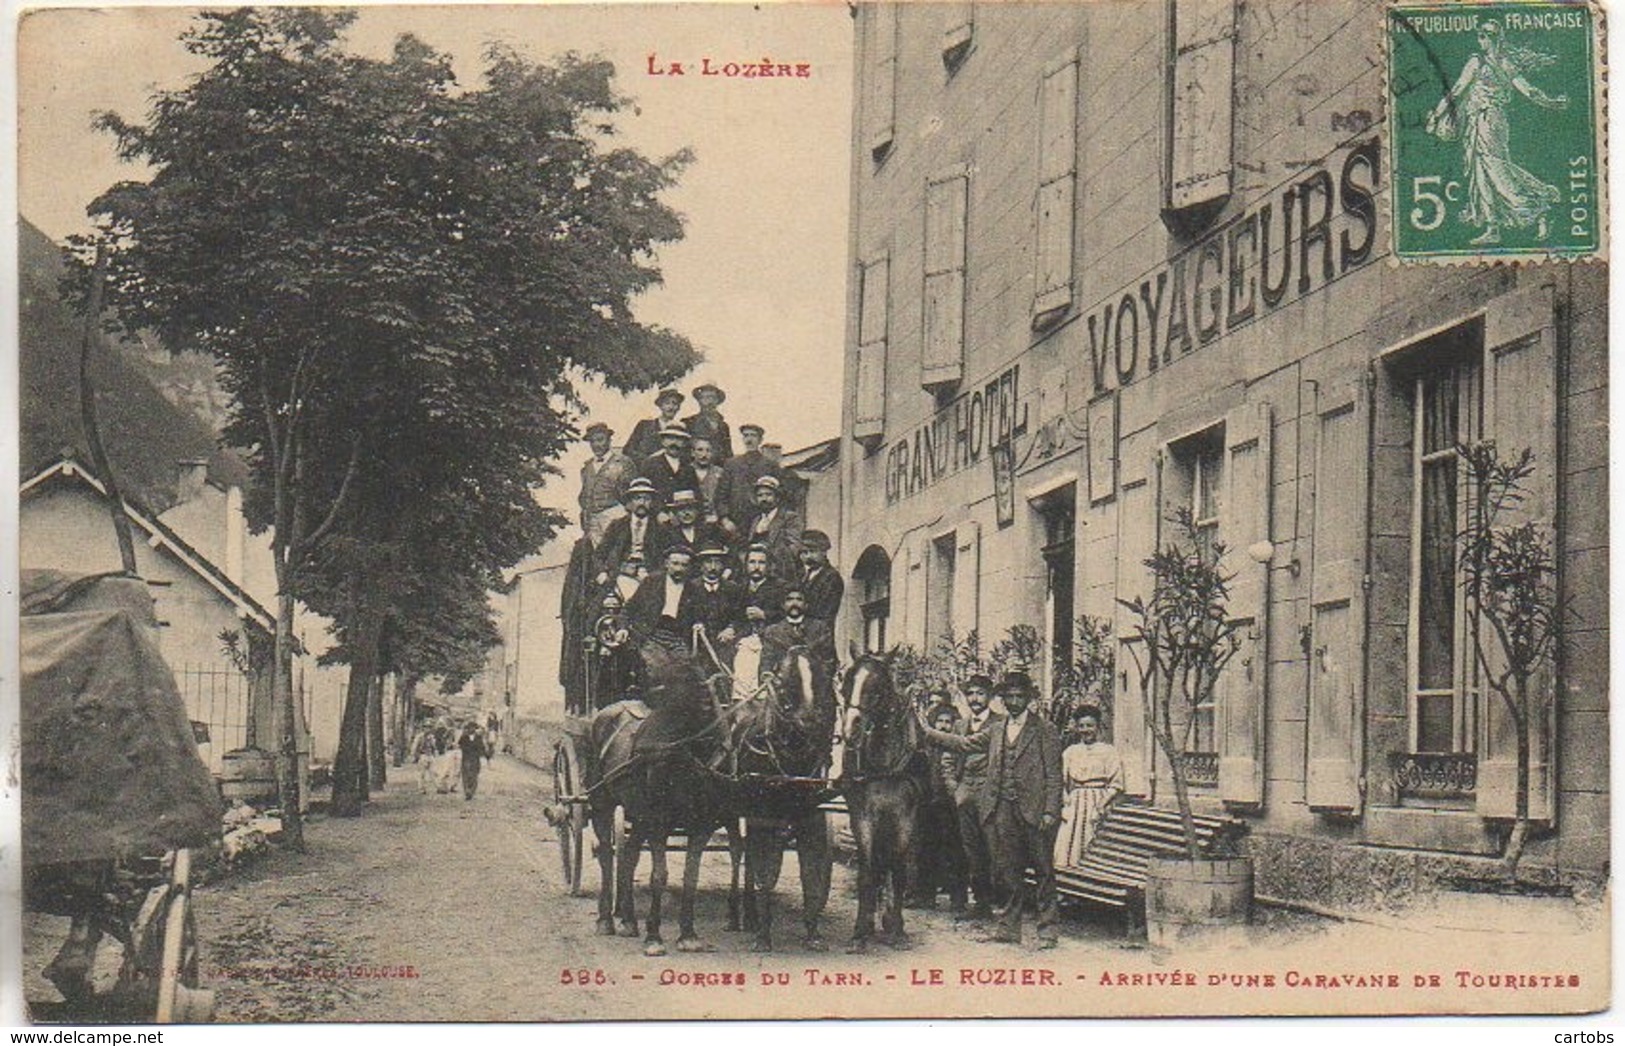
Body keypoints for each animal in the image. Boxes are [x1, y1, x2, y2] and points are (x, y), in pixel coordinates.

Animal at [734, 639, 838, 955]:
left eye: (822, 681)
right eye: (784, 683)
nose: (809, 722)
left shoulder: (811, 816)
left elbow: (811, 875)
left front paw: (813, 932)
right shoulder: (761, 817)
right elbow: (766, 875)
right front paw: (763, 936)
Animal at [838, 649, 929, 955]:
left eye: (877, 688)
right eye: (847, 683)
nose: (850, 729)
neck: (885, 764)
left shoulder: (906, 816)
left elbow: (899, 870)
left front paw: (897, 928)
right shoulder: (862, 815)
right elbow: (867, 871)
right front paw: (859, 932)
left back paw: (888, 917)